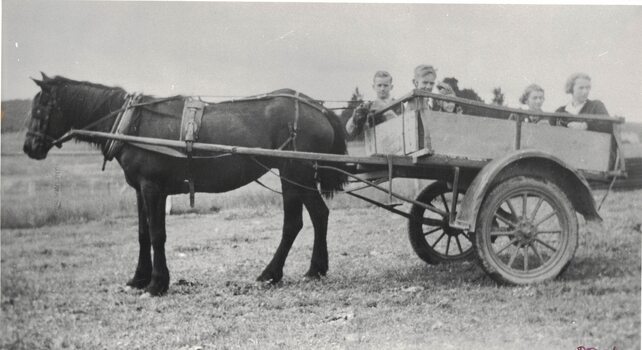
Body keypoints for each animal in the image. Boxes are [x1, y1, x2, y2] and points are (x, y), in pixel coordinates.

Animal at [23, 73, 344, 296]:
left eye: (39, 109)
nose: (29, 147)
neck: (132, 123)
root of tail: (319, 108)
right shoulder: (140, 189)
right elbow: (142, 234)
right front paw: (138, 278)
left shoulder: (153, 188)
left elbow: (157, 234)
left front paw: (157, 283)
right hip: (299, 177)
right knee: (319, 215)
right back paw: (315, 269)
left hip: (295, 174)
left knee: (294, 223)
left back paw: (272, 272)